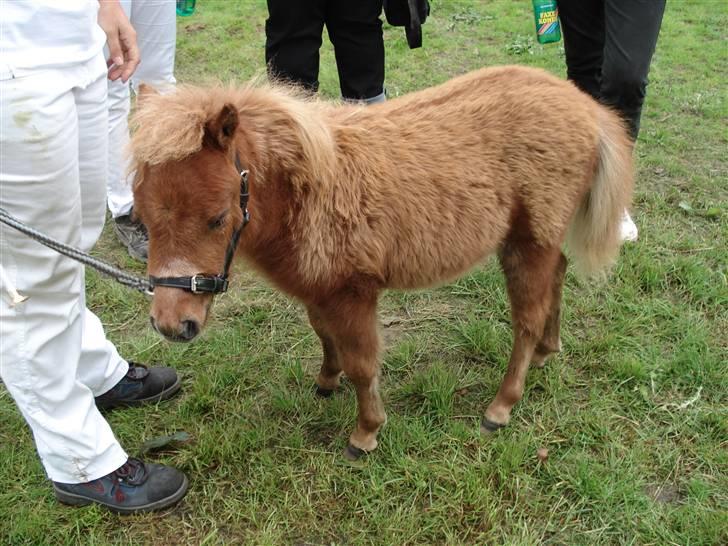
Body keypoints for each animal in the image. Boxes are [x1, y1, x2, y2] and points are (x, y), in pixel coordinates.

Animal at [129, 67, 632, 460]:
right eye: (141, 218)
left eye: (217, 218)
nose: (173, 325)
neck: (311, 190)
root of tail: (584, 105)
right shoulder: (320, 290)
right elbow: (323, 334)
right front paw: (325, 381)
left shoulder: (354, 292)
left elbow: (363, 365)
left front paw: (365, 433)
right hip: (538, 238)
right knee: (558, 276)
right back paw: (548, 350)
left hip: (528, 242)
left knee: (526, 318)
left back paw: (501, 406)